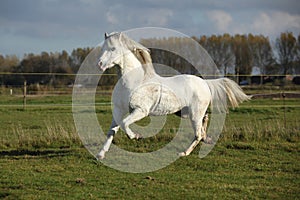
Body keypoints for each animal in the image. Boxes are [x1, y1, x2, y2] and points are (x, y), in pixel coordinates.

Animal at [96, 31, 251, 159]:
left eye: (113, 48)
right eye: (103, 48)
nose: (100, 64)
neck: (134, 80)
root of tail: (205, 83)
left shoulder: (141, 111)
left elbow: (124, 124)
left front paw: (136, 136)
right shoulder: (119, 110)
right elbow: (112, 130)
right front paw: (100, 155)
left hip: (194, 114)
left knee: (198, 134)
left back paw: (183, 153)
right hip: (186, 112)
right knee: (204, 124)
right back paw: (206, 140)